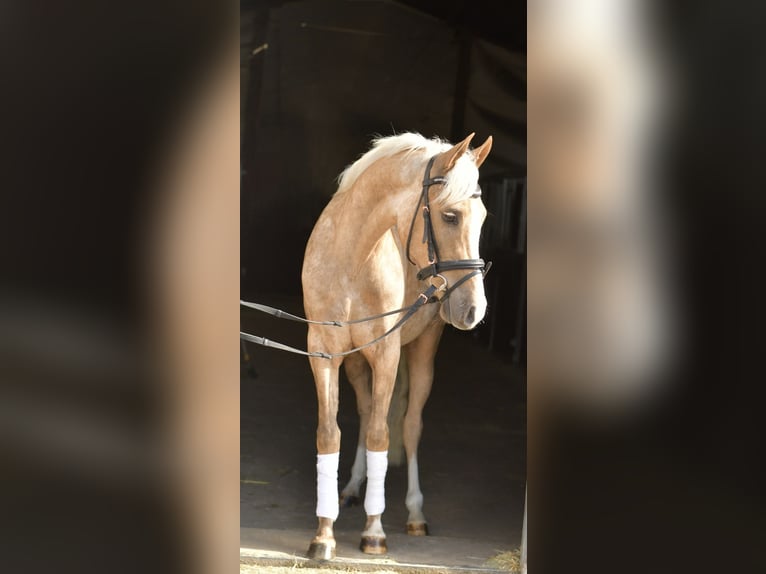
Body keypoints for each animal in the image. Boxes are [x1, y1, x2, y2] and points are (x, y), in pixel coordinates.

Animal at [301, 132, 493, 559]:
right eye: (450, 216)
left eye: (484, 216)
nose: (474, 310)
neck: (350, 259)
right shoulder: (324, 352)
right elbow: (329, 433)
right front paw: (323, 535)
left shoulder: (386, 354)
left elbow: (381, 435)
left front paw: (373, 532)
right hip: (356, 362)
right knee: (365, 408)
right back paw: (351, 488)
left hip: (422, 351)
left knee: (409, 425)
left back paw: (415, 514)